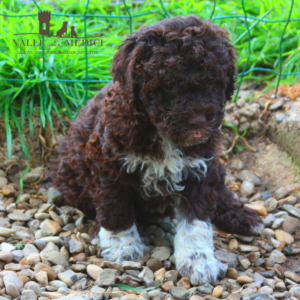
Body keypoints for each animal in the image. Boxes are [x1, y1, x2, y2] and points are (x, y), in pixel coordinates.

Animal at [51, 15, 262, 284]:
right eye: (169, 85)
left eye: (215, 82)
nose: (199, 121)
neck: (162, 134)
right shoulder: (109, 164)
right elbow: (116, 207)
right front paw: (123, 246)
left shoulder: (201, 165)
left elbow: (196, 220)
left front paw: (198, 261)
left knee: (221, 191)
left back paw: (242, 217)